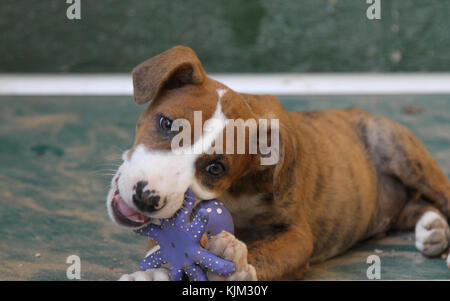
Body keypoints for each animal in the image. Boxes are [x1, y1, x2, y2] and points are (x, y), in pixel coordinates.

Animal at [108, 45, 450, 280]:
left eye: (216, 168)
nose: (146, 198)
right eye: (166, 124)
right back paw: (432, 229)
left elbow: (266, 253)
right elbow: (165, 239)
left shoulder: (298, 236)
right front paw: (154, 272)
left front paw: (237, 266)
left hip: (401, 152)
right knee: (417, 206)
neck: (235, 191)